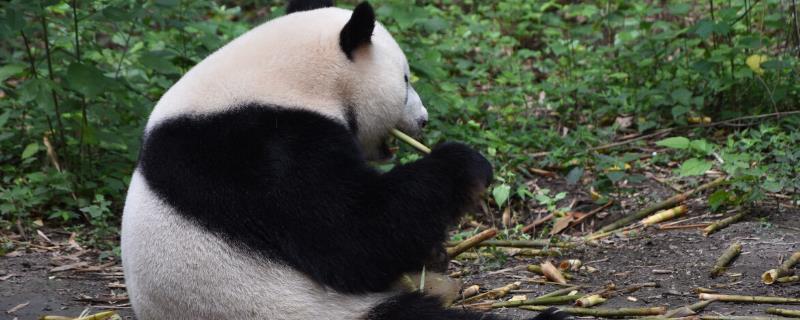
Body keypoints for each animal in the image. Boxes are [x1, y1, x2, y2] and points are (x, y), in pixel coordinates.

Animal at [120, 1, 568, 318]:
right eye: (406, 80)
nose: (423, 120)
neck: (282, 76)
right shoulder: (259, 149)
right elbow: (353, 236)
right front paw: (464, 165)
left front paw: (435, 254)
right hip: (307, 308)